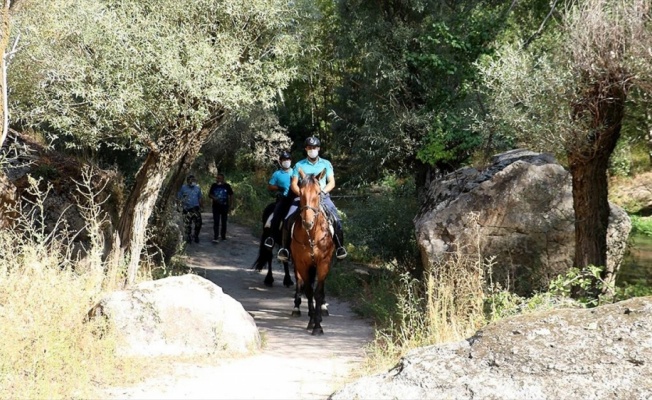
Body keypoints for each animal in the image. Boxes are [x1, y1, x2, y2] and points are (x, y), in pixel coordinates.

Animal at [290, 168, 334, 334]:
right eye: (300, 193)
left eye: (318, 193)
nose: (307, 222)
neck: (311, 234)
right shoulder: (302, 263)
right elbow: (309, 290)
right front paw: (312, 322)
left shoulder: (324, 262)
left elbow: (318, 293)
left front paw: (318, 326)